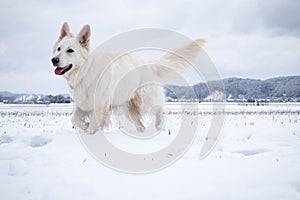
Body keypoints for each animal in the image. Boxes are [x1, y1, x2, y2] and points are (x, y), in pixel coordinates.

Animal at [51, 22, 205, 134]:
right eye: (59, 49)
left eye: (70, 50)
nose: (54, 60)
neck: (85, 71)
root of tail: (148, 63)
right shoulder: (82, 103)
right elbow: (75, 120)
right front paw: (85, 124)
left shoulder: (99, 105)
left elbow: (93, 124)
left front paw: (91, 132)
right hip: (128, 107)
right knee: (141, 125)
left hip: (146, 98)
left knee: (159, 109)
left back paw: (159, 126)